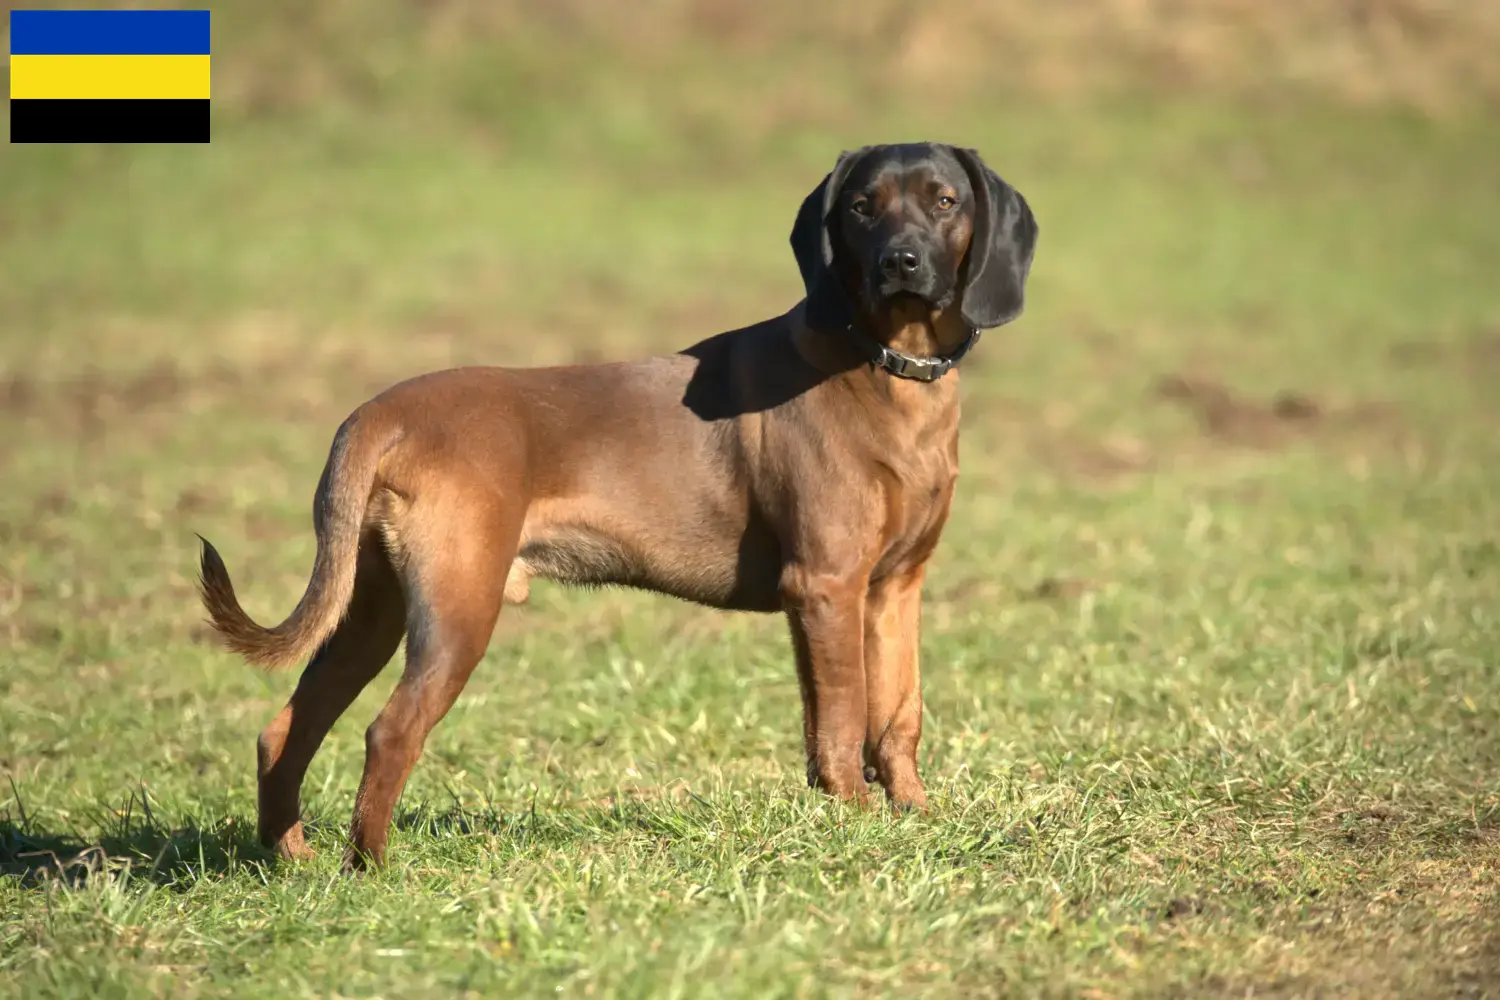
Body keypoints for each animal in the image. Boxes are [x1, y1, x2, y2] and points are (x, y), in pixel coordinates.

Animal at [199, 142, 1038, 869]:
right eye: (863, 207)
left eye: (944, 201)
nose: (902, 262)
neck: (887, 369)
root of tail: (380, 415)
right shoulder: (826, 587)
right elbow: (839, 721)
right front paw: (856, 821)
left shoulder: (895, 588)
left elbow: (898, 715)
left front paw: (915, 814)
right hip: (457, 608)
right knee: (390, 730)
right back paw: (371, 869)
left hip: (369, 609)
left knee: (286, 729)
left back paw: (292, 856)